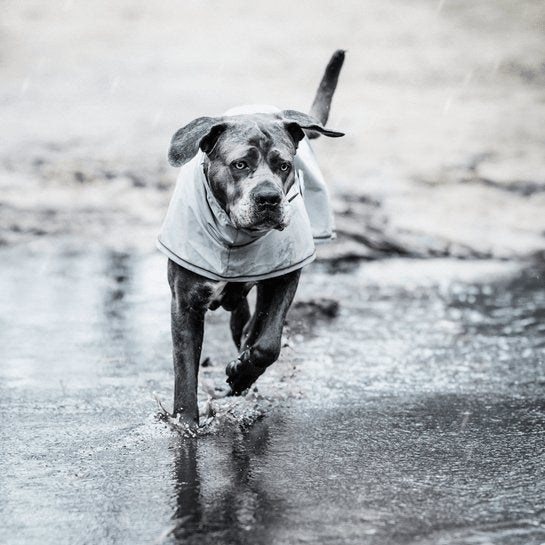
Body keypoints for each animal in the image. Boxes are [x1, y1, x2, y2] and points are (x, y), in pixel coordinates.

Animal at [157, 49, 344, 428]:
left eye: (284, 165)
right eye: (240, 164)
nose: (269, 198)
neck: (234, 234)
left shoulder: (285, 276)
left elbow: (268, 342)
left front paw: (242, 371)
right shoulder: (184, 302)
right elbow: (185, 370)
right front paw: (186, 425)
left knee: (251, 327)